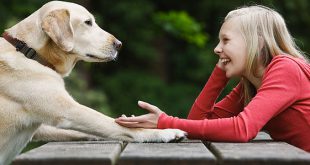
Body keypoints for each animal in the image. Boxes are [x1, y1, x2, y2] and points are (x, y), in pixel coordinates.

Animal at [0, 0, 185, 164]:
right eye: (88, 22)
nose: (119, 44)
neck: (29, 51)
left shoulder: (43, 127)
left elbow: (92, 130)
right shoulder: (69, 111)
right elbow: (115, 124)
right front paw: (165, 132)